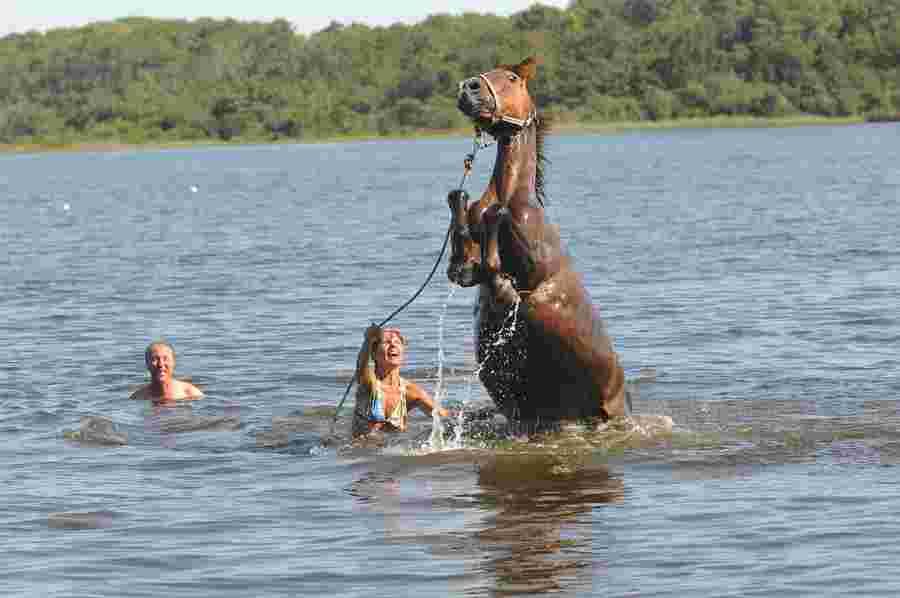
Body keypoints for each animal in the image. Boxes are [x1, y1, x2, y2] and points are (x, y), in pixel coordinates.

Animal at [446, 56, 628, 428]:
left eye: (512, 77)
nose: (468, 87)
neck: (509, 197)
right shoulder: (469, 273)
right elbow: (464, 260)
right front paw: (461, 202)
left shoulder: (526, 282)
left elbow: (495, 265)